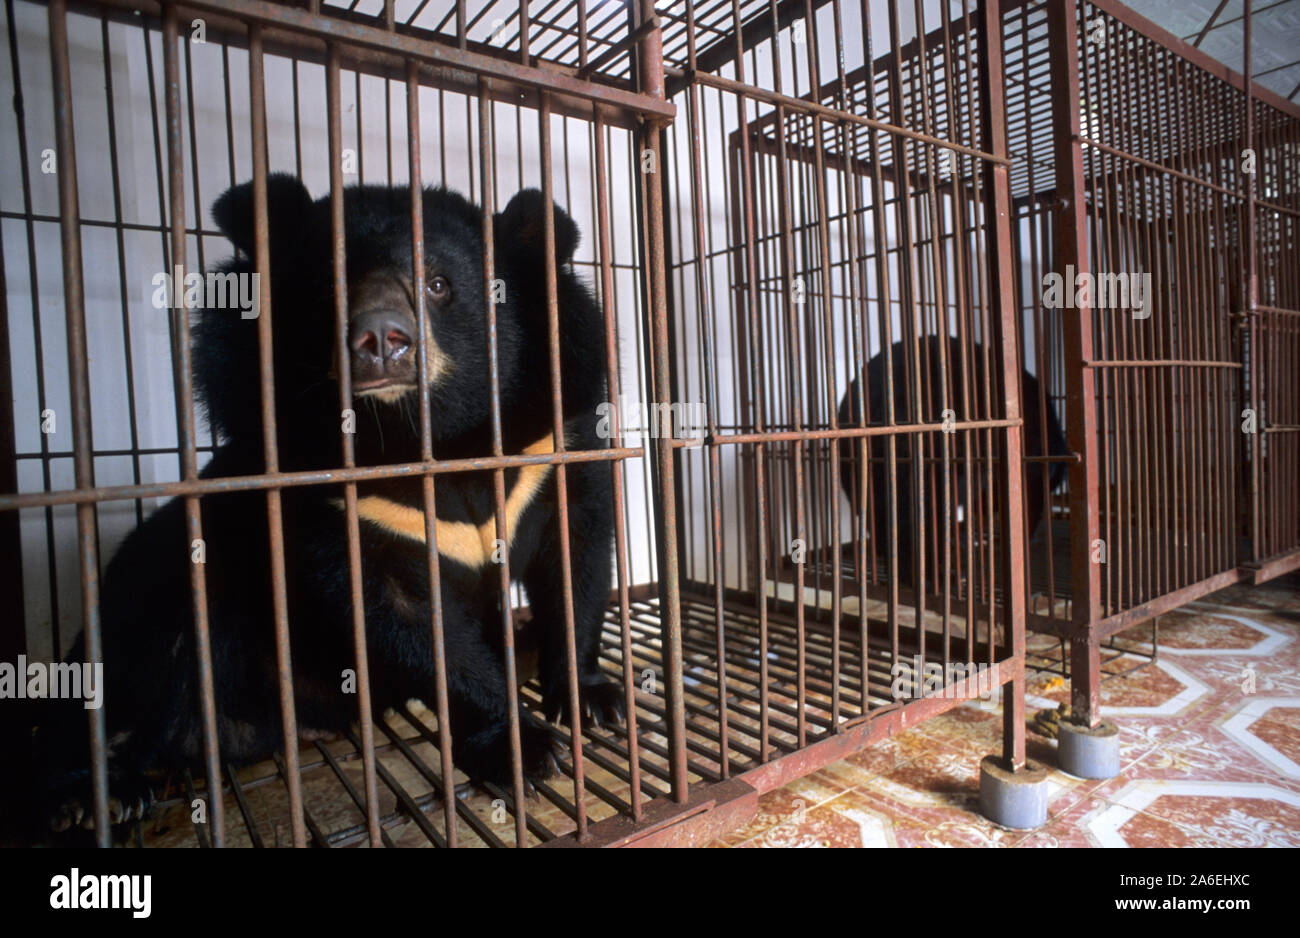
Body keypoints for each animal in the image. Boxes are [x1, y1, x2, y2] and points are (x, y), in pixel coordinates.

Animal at [29, 176, 618, 841]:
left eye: (439, 284)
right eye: (330, 284)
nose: (381, 338)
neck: (424, 442)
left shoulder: (552, 447)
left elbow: (577, 559)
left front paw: (593, 700)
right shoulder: (331, 500)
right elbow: (410, 623)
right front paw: (526, 748)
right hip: (164, 582)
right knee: (126, 664)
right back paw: (92, 795)